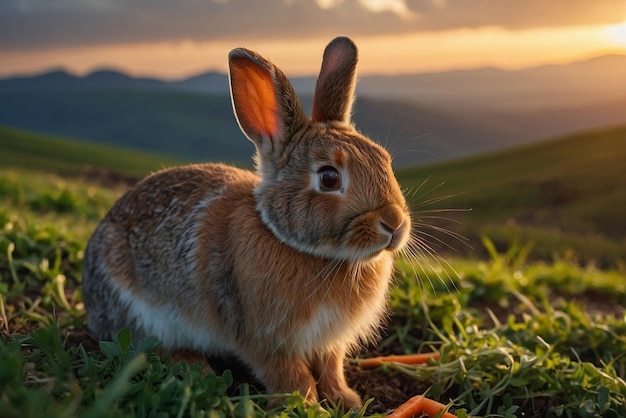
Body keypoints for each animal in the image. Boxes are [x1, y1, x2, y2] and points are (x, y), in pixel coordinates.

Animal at [81, 36, 410, 408]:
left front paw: (347, 401)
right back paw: (199, 369)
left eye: (384, 160)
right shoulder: (265, 340)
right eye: (328, 177)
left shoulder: (329, 343)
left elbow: (331, 369)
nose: (394, 223)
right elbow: (291, 376)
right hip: (145, 315)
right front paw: (307, 406)